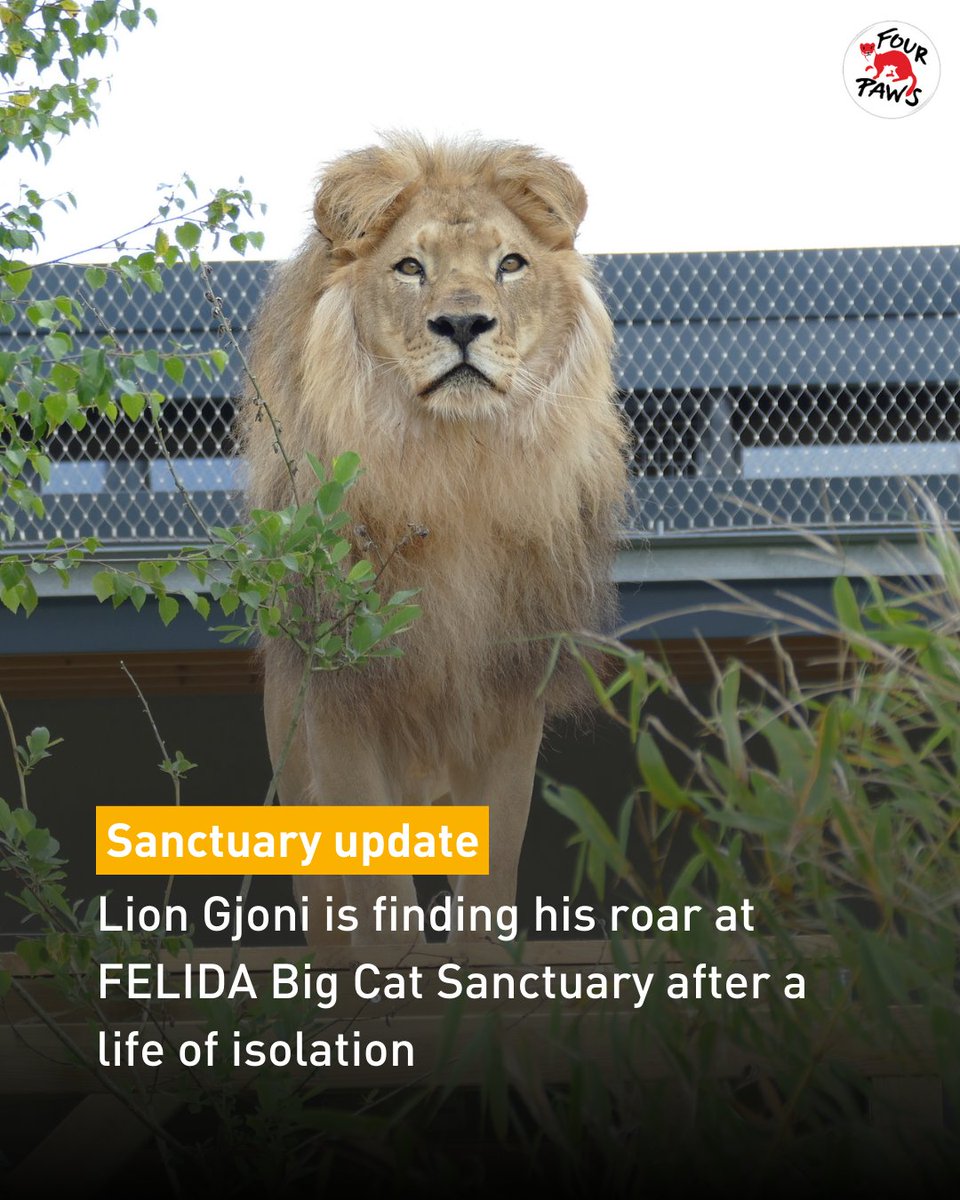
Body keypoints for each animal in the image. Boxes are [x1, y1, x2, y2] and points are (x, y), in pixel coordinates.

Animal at [240, 134, 628, 944]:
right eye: (409, 268)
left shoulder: (509, 699)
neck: (452, 470)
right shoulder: (342, 710)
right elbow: (380, 901)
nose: (462, 325)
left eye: (509, 263)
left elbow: (491, 879)